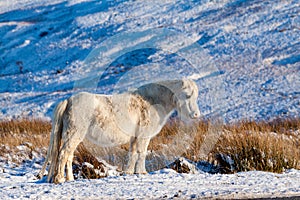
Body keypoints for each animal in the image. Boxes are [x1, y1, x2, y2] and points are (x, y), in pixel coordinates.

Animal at [38, 78, 200, 183]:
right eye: (187, 95)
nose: (196, 115)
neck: (152, 101)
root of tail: (68, 100)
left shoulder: (135, 137)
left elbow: (132, 154)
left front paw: (129, 172)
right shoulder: (144, 136)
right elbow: (142, 153)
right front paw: (142, 172)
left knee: (68, 156)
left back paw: (69, 179)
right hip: (74, 134)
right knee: (64, 154)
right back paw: (59, 179)